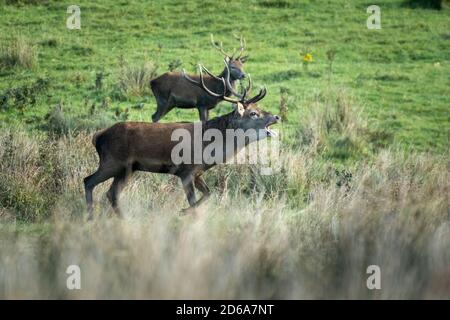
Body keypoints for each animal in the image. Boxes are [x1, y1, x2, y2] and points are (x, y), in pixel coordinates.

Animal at [83, 72, 280, 220]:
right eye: (253, 113)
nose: (276, 116)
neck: (210, 150)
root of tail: (98, 136)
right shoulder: (185, 170)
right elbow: (194, 200)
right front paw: (188, 214)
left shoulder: (198, 172)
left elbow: (208, 194)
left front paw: (184, 211)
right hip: (113, 162)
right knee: (89, 181)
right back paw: (91, 217)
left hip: (127, 168)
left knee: (111, 193)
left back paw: (123, 219)